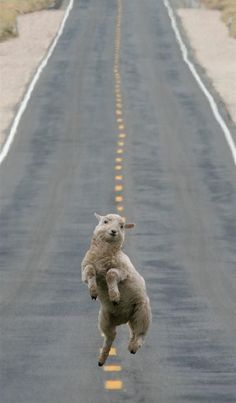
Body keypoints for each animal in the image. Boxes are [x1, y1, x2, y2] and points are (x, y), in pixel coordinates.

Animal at [80, 213, 151, 368]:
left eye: (122, 226)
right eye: (105, 221)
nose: (114, 231)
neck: (103, 253)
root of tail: (123, 318)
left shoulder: (123, 272)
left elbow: (111, 274)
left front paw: (114, 296)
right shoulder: (86, 269)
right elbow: (90, 271)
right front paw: (93, 292)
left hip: (142, 311)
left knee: (140, 333)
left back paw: (133, 347)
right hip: (105, 318)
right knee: (111, 337)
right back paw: (102, 359)